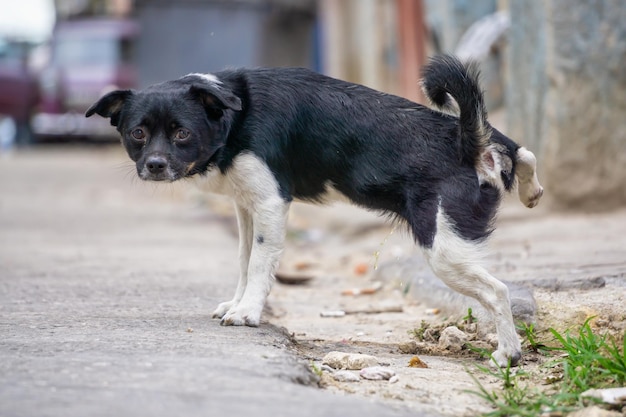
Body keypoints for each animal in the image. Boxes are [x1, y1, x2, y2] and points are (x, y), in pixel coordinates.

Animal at [86, 54, 540, 364]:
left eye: (181, 133)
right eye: (137, 133)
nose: (154, 166)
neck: (234, 112)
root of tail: (468, 143)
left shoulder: (270, 203)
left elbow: (259, 265)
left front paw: (248, 313)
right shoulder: (246, 207)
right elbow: (243, 260)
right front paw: (237, 303)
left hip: (443, 250)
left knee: (498, 291)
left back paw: (509, 354)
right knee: (520, 149)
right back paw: (531, 189)